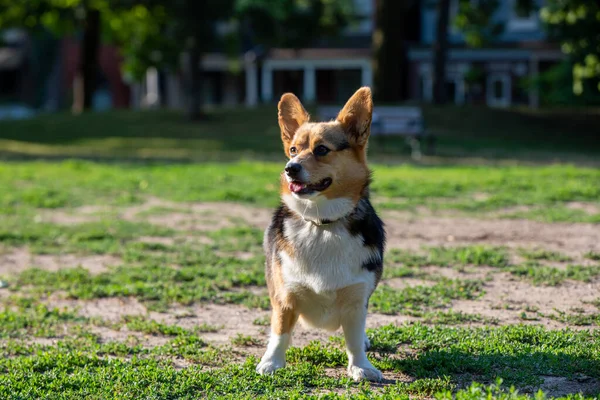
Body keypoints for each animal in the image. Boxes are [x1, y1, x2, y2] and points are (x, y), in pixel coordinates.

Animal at [256, 87, 386, 382]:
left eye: (322, 149)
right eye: (293, 149)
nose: (290, 168)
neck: (321, 224)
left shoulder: (357, 299)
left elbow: (353, 338)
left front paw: (361, 366)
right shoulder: (284, 296)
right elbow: (280, 333)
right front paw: (272, 362)